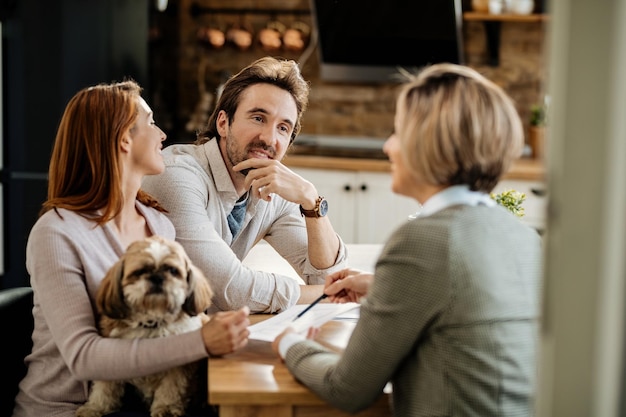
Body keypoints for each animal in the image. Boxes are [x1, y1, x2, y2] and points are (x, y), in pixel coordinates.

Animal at [76, 234, 213, 416]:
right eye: (140, 271)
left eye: (172, 271)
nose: (157, 277)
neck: (152, 320)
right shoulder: (108, 354)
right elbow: (104, 386)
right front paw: (95, 407)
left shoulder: (178, 367)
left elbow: (171, 387)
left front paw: (166, 408)